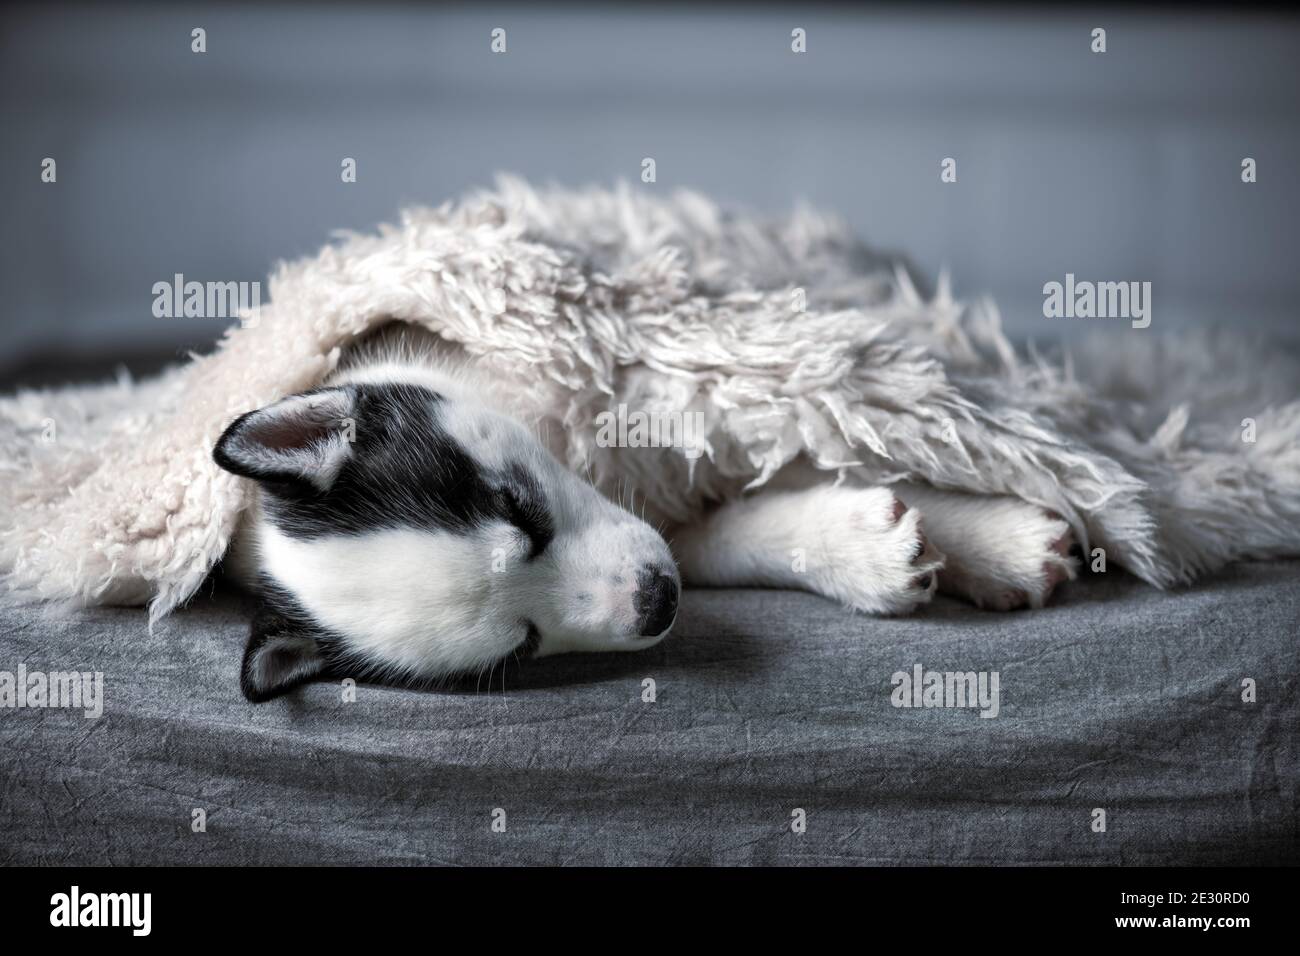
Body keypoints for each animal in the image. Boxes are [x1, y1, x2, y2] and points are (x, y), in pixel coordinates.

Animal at [215, 325, 1076, 697]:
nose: (657, 602)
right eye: (521, 645)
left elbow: (824, 444)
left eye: (516, 505)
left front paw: (992, 536)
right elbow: (723, 538)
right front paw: (863, 552)